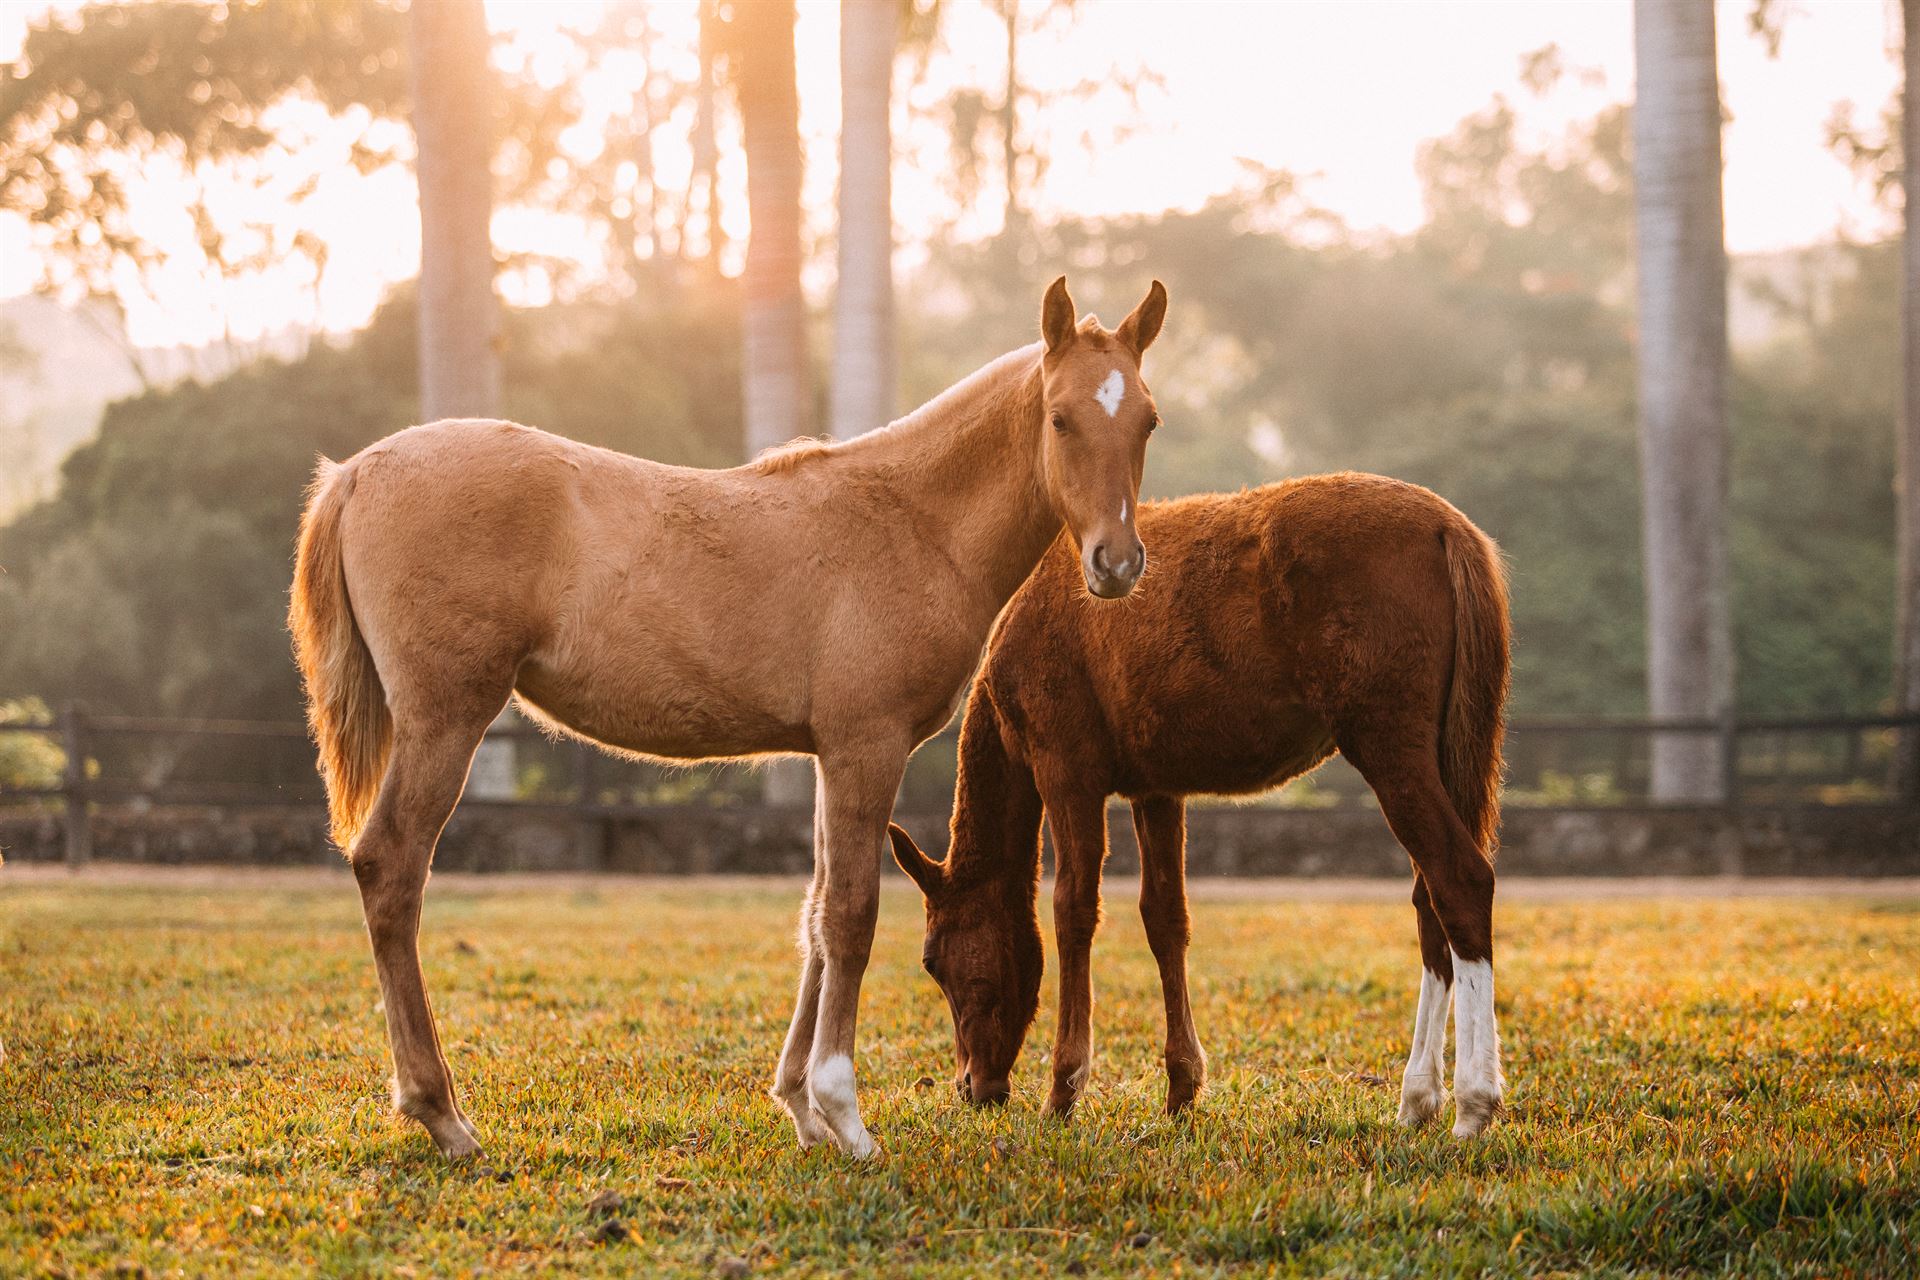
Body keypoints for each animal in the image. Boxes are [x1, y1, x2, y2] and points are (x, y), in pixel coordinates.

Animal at [289, 280, 1167, 1159]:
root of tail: (358, 473)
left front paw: (801, 1106)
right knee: (391, 868)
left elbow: (816, 916)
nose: (1117, 564)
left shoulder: (825, 756)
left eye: (1147, 420)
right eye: (1061, 417)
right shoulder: (866, 748)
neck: (910, 523)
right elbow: (851, 914)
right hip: (445, 721)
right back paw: (443, 1114)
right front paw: (846, 1117)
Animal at [890, 475, 1505, 1136]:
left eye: (932, 961)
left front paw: (1064, 1088)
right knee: (1429, 901)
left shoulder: (1066, 771)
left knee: (1459, 880)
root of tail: (1447, 527)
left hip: (1388, 744)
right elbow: (1165, 918)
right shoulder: (1156, 788)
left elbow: (1072, 909)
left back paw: (1473, 1104)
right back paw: (1418, 1098)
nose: (974, 1086)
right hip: (1436, 753)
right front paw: (1182, 1086)